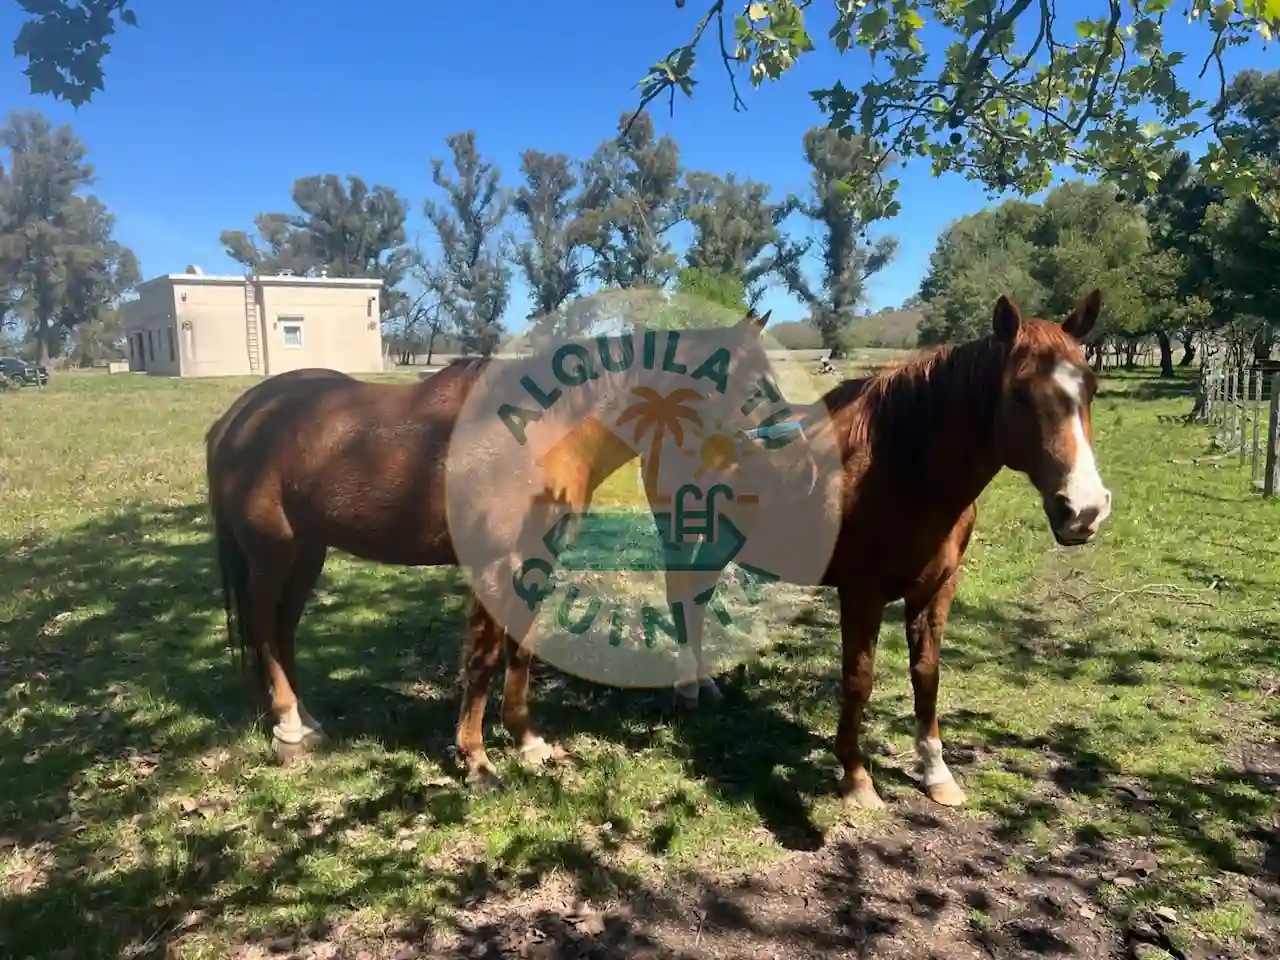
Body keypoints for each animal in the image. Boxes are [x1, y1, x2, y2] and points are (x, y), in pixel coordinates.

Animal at [204, 308, 814, 786]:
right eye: (750, 387)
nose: (805, 469)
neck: (539, 433)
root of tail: (239, 417)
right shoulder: (494, 566)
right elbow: (483, 659)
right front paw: (476, 761)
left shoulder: (536, 560)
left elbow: (522, 648)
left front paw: (527, 742)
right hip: (274, 552)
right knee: (264, 624)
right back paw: (287, 723)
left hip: (308, 552)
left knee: (283, 627)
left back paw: (305, 721)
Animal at [648, 290, 1113, 808]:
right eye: (1018, 392)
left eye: (1091, 387)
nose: (1084, 509)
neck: (904, 465)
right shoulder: (861, 592)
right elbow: (859, 679)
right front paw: (855, 776)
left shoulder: (936, 589)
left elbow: (927, 674)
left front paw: (935, 771)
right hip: (681, 536)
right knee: (681, 595)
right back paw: (687, 688)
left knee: (696, 599)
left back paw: (703, 684)